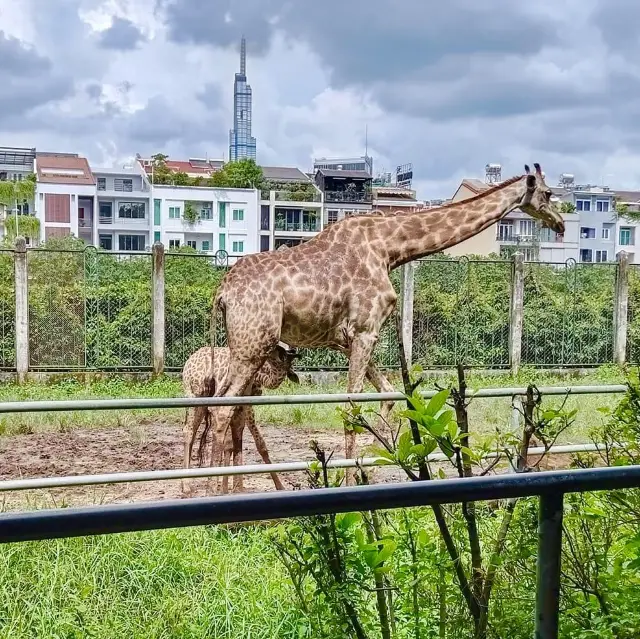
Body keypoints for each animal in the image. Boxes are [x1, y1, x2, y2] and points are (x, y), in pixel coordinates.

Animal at [181, 344, 298, 496]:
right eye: (277, 351)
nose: (291, 352)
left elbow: (230, 443)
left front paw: (226, 487)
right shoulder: (245, 403)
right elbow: (257, 444)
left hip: (199, 398)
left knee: (192, 431)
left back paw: (186, 483)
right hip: (196, 396)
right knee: (189, 431)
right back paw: (187, 485)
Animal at [196, 164, 564, 484]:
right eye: (547, 193)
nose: (560, 223)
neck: (390, 248)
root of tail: (222, 291)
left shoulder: (349, 338)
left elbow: (388, 394)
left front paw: (379, 465)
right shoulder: (364, 330)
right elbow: (353, 407)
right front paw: (352, 481)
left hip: (245, 346)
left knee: (226, 407)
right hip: (253, 345)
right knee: (221, 409)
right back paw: (212, 488)